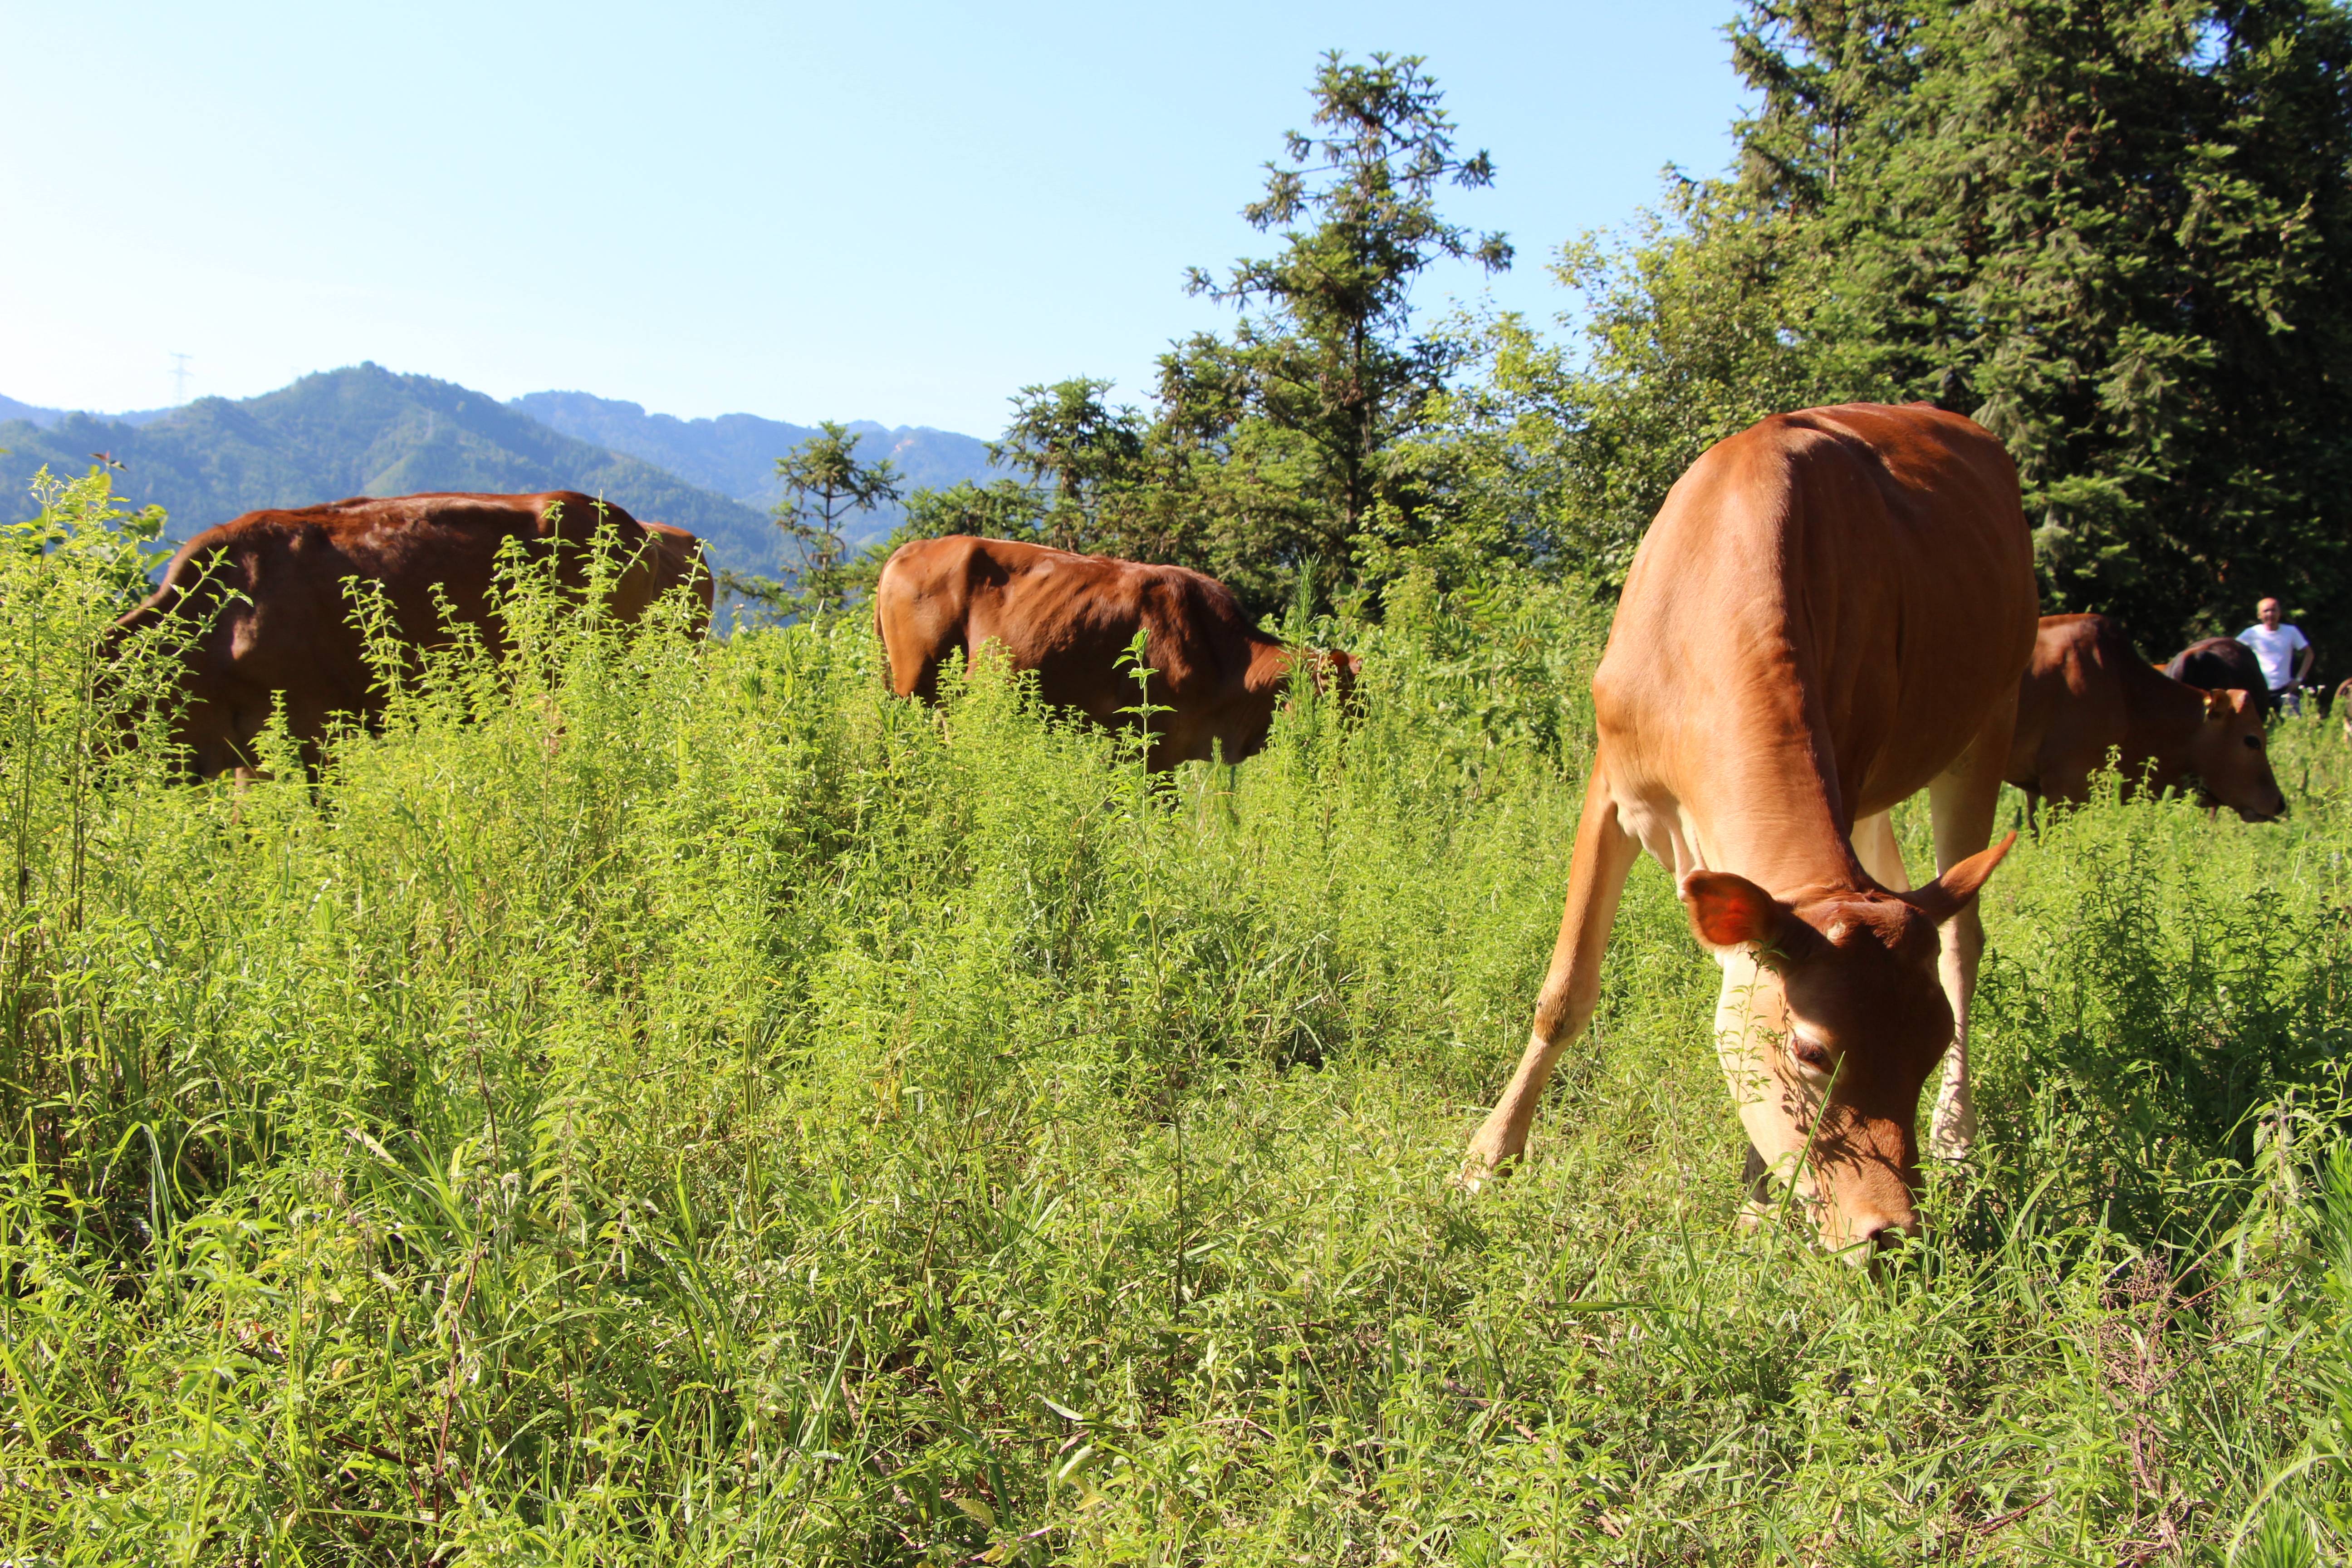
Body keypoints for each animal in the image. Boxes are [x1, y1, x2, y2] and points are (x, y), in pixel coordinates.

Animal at [875, 536, 1364, 771]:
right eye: (1338, 707)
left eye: (1363, 710)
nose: (1351, 764)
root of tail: (912, 549)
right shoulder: (1154, 748)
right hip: (914, 688)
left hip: (946, 702)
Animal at [1458, 402, 2032, 1250]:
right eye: (1811, 1049)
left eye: (1930, 1046)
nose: (1891, 1232)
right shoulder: (1610, 782)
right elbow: (1564, 991)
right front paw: (1485, 1162)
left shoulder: (1846, 766)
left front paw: (1760, 1205)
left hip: (1990, 718)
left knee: (1963, 938)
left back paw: (1957, 1140)